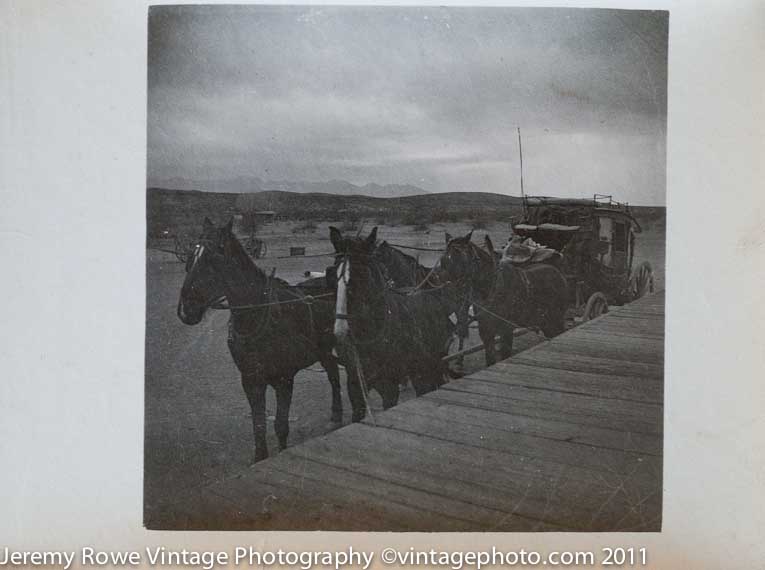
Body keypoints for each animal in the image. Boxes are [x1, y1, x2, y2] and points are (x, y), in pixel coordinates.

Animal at [176, 217, 356, 462]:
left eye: (214, 259)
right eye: (190, 257)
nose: (186, 309)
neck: (259, 316)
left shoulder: (284, 378)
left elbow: (280, 425)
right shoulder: (250, 379)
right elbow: (258, 424)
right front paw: (260, 456)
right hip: (324, 349)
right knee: (333, 374)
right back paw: (336, 414)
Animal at [330, 225, 460, 408]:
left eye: (361, 274)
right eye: (333, 275)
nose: (341, 332)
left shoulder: (389, 387)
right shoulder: (355, 387)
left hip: (431, 364)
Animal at [436, 230, 568, 364]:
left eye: (463, 259)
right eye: (443, 260)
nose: (450, 290)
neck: (490, 288)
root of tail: (557, 272)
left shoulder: (506, 330)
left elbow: (505, 354)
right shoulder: (486, 331)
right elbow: (490, 359)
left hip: (555, 319)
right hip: (545, 321)